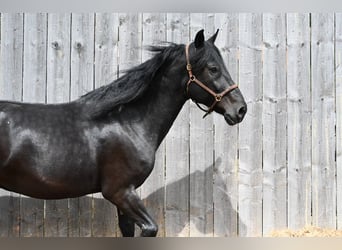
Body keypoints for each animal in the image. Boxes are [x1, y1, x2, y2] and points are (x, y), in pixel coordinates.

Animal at [0, 29, 246, 236]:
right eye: (213, 68)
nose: (240, 109)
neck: (127, 123)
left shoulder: (124, 196)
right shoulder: (119, 192)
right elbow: (150, 228)